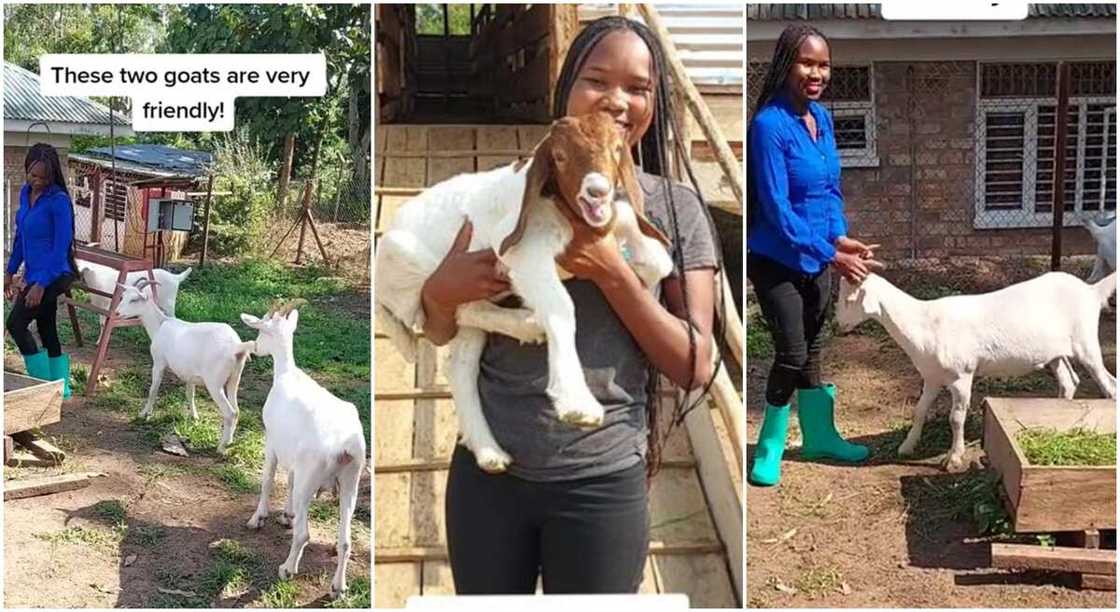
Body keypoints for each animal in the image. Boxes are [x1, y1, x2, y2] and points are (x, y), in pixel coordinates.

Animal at [114, 279, 254, 450]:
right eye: (122, 297)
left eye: (134, 299)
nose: (117, 313)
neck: (160, 325)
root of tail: (236, 347)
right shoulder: (190, 374)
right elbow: (190, 394)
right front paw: (194, 417)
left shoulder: (159, 361)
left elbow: (153, 389)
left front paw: (144, 414)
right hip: (234, 378)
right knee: (237, 410)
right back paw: (229, 441)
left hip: (215, 383)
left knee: (230, 413)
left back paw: (221, 447)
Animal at [239, 300, 362, 596]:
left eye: (261, 328)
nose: (256, 348)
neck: (287, 374)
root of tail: (345, 444)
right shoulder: (293, 456)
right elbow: (289, 479)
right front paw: (287, 514)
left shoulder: (271, 440)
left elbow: (268, 479)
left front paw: (257, 518)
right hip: (351, 480)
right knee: (345, 540)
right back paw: (338, 587)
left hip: (312, 474)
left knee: (304, 533)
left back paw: (287, 569)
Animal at [376, 110, 672, 470]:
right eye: (559, 156)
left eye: (617, 149)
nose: (597, 191)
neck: (564, 212)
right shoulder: (523, 253)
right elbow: (562, 307)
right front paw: (576, 403)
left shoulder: (611, 220)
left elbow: (654, 252)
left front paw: (640, 270)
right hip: (411, 265)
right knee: (456, 307)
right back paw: (528, 325)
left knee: (461, 363)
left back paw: (489, 452)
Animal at [837, 269, 1115, 468]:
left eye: (850, 298)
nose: (838, 325)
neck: (924, 323)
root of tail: (1091, 291)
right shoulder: (932, 377)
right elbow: (919, 410)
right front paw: (907, 446)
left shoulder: (962, 375)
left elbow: (956, 417)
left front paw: (953, 458)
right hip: (1056, 353)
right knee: (1069, 381)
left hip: (1086, 342)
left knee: (1109, 384)